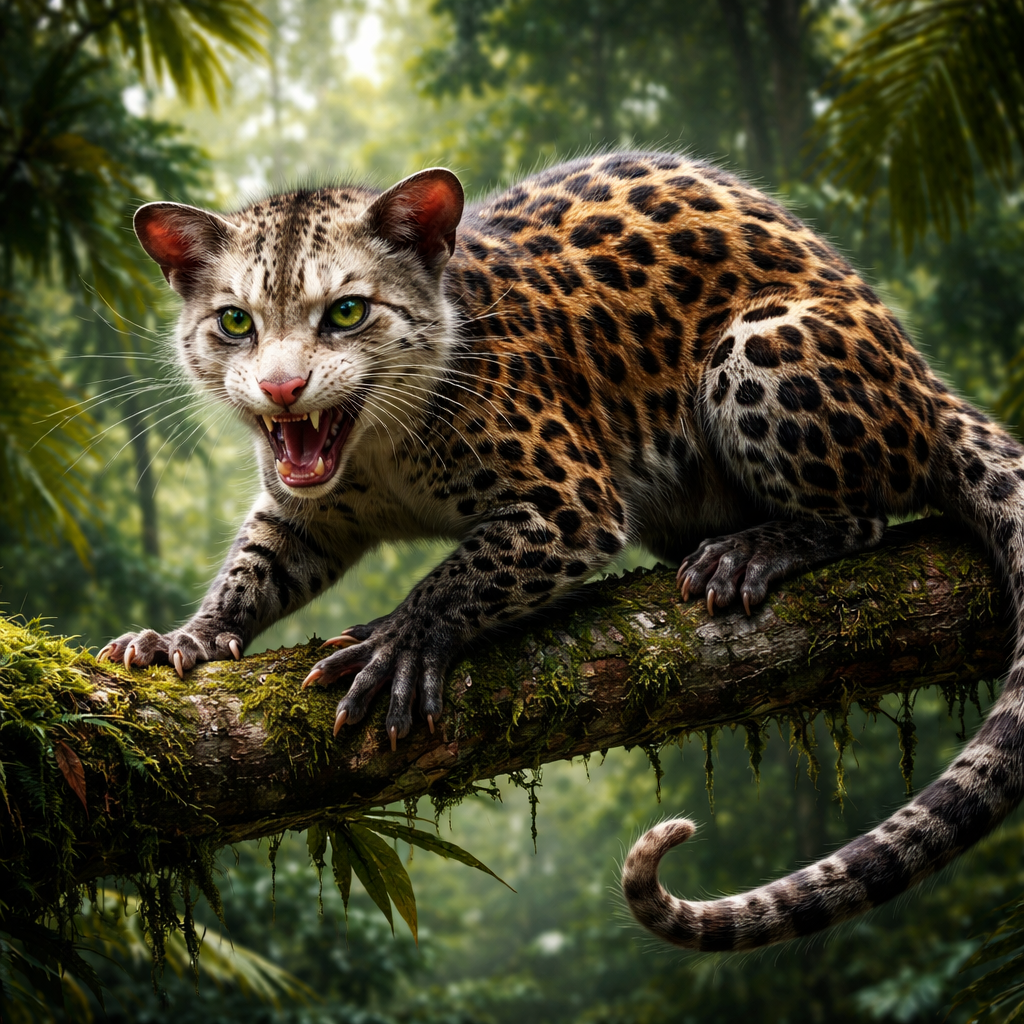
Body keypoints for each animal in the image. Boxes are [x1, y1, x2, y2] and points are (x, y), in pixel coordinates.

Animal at [99, 150, 1024, 952]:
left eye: (348, 311)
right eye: (235, 323)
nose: (283, 388)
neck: (377, 449)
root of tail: (924, 378)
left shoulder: (570, 502)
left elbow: (462, 573)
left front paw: (397, 645)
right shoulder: (303, 514)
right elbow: (252, 568)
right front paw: (181, 638)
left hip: (761, 343)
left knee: (860, 518)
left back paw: (747, 553)